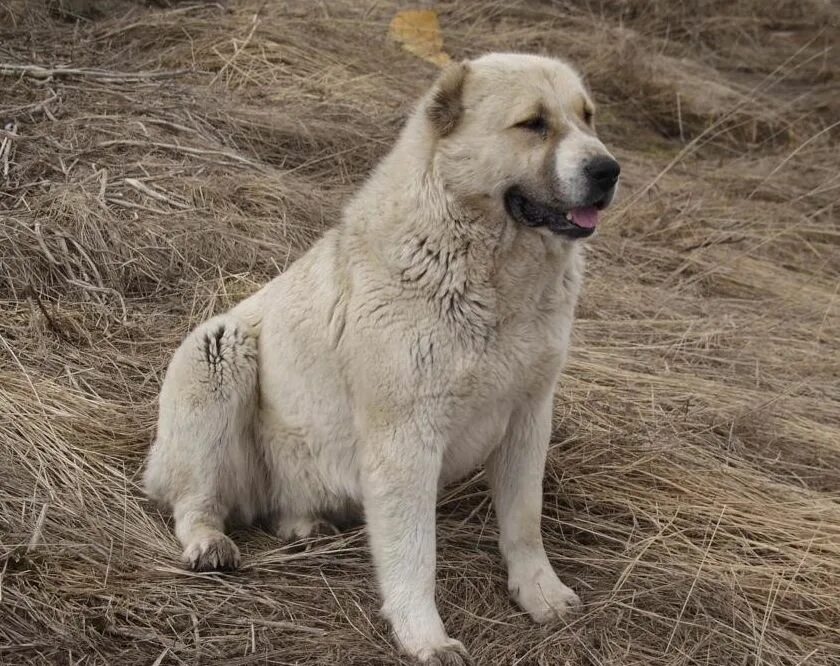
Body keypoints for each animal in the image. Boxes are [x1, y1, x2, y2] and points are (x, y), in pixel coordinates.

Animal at [144, 53, 616, 664]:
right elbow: (415, 552)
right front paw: (426, 638)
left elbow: (524, 520)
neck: (485, 267)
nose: (609, 171)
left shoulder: (528, 416)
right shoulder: (405, 438)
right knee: (195, 495)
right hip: (216, 352)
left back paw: (302, 525)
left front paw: (540, 594)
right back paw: (209, 542)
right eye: (533, 123)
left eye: (588, 117)